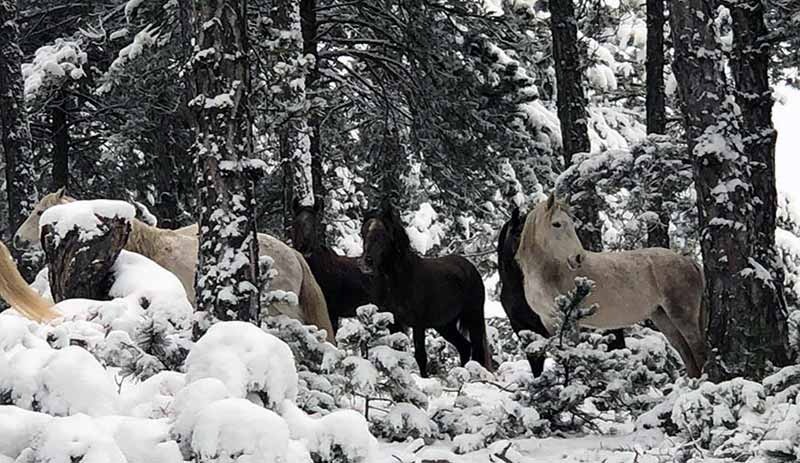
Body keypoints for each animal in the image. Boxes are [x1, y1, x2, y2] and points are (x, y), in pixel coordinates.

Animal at [360, 205, 488, 378]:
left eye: (382, 235)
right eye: (363, 234)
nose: (365, 262)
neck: (398, 282)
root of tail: (470, 267)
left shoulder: (418, 325)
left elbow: (420, 356)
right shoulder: (394, 323)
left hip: (473, 317)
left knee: (476, 350)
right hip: (445, 324)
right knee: (464, 347)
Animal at [512, 194, 708, 378]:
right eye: (557, 224)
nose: (578, 258)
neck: (550, 273)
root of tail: (689, 261)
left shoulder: (571, 319)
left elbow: (572, 352)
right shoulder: (549, 320)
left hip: (682, 315)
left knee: (697, 349)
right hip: (662, 317)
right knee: (685, 353)